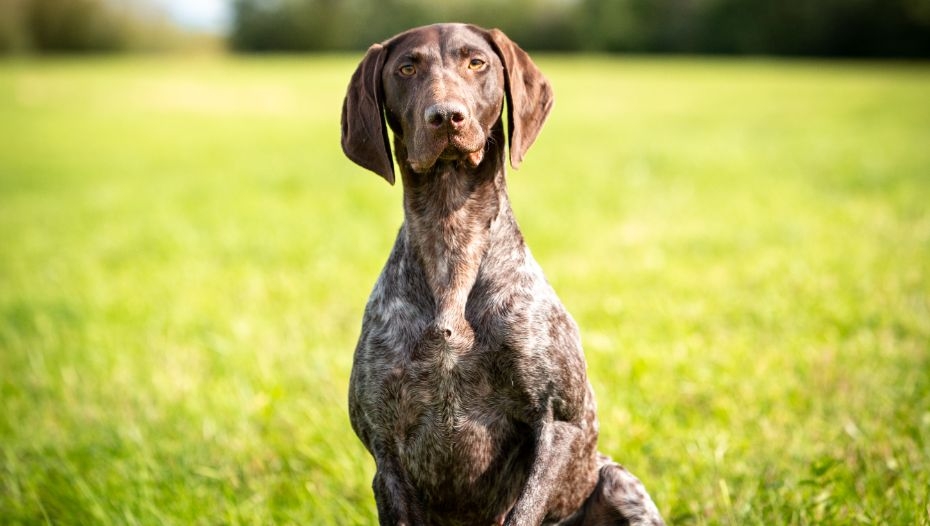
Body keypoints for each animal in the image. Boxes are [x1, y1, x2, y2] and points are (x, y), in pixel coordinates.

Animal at [340, 22, 668, 524]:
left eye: (477, 63)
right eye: (407, 68)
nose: (446, 117)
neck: (451, 237)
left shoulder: (556, 423)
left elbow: (524, 509)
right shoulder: (385, 447)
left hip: (617, 481)